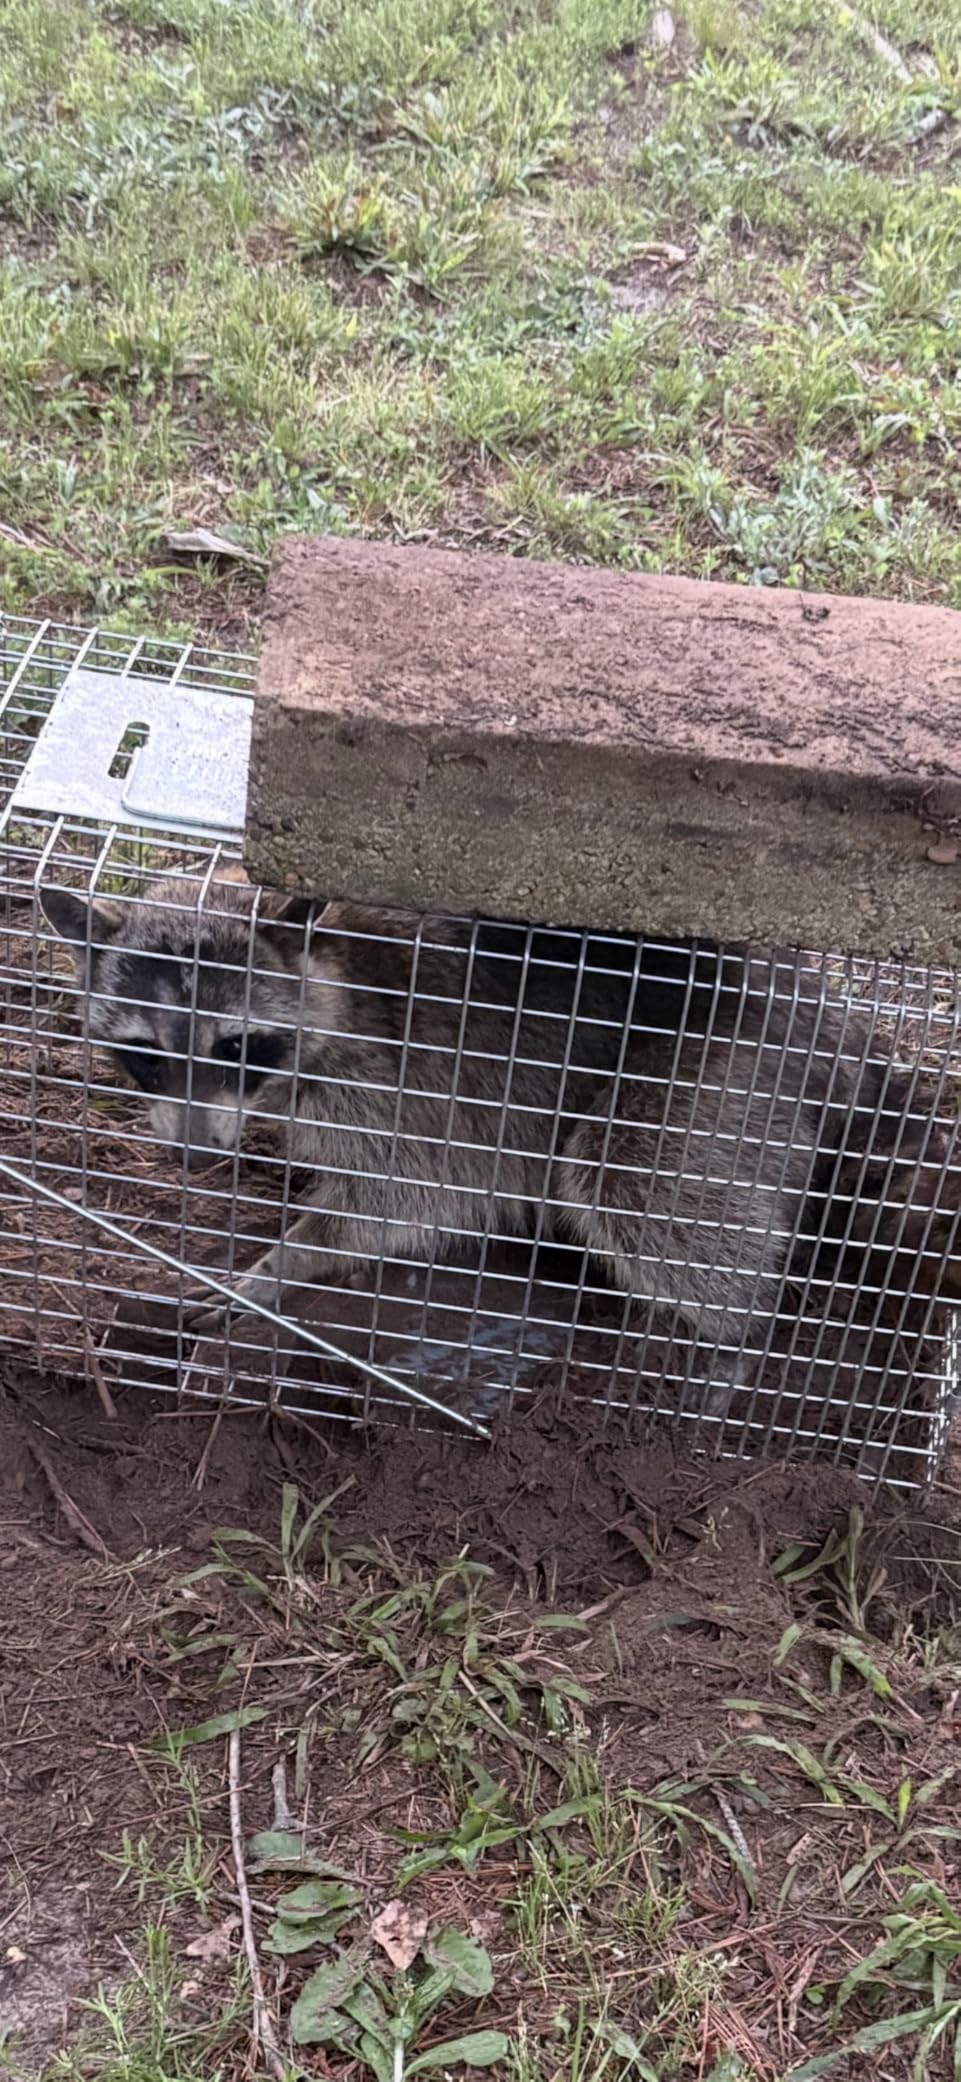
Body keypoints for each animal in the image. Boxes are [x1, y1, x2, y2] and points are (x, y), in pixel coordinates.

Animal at [40, 870, 961, 1388]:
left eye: (235, 1045)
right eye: (145, 1053)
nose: (190, 1150)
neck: (332, 969)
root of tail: (839, 1036)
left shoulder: (406, 1087)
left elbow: (401, 1202)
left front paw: (277, 1263)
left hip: (713, 1069)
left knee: (634, 1183)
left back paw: (742, 1329)